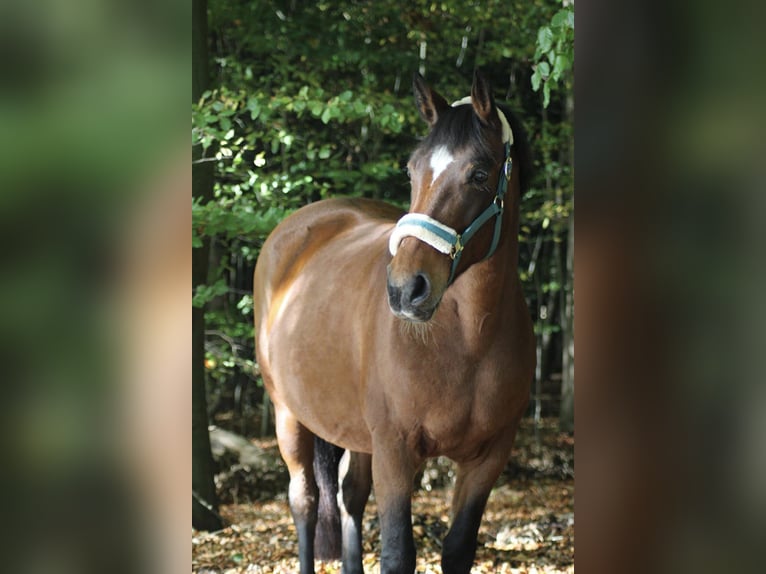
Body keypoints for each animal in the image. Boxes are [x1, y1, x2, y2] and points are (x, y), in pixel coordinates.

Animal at [253, 71, 535, 573]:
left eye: (479, 174)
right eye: (411, 170)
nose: (406, 288)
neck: (468, 340)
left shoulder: (489, 457)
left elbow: (457, 549)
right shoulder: (395, 451)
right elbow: (398, 552)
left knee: (349, 497)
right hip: (288, 414)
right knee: (305, 501)